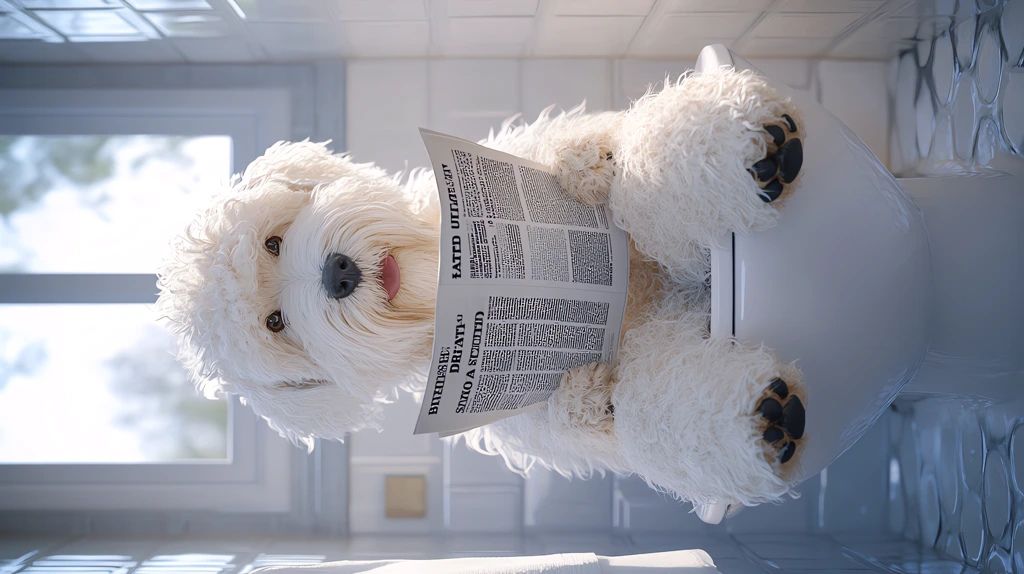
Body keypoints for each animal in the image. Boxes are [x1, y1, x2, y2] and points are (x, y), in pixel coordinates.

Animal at [161, 69, 806, 507]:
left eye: (273, 242)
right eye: (277, 324)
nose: (336, 273)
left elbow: (625, 155)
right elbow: (644, 414)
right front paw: (747, 423)